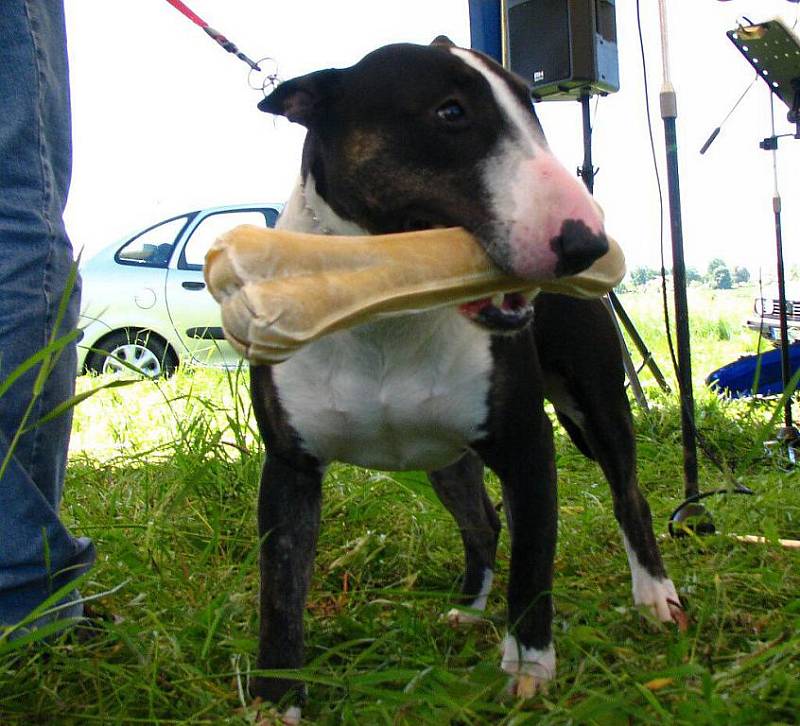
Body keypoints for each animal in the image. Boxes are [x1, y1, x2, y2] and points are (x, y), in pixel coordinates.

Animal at [248, 38, 680, 716]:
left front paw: (528, 667)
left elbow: (534, 561)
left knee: (626, 493)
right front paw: (275, 699)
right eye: (450, 112)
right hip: (446, 456)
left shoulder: (529, 448)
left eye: (533, 108)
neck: (390, 308)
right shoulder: (290, 467)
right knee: (482, 524)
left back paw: (655, 596)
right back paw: (471, 609)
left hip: (596, 404)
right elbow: (280, 591)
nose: (587, 242)